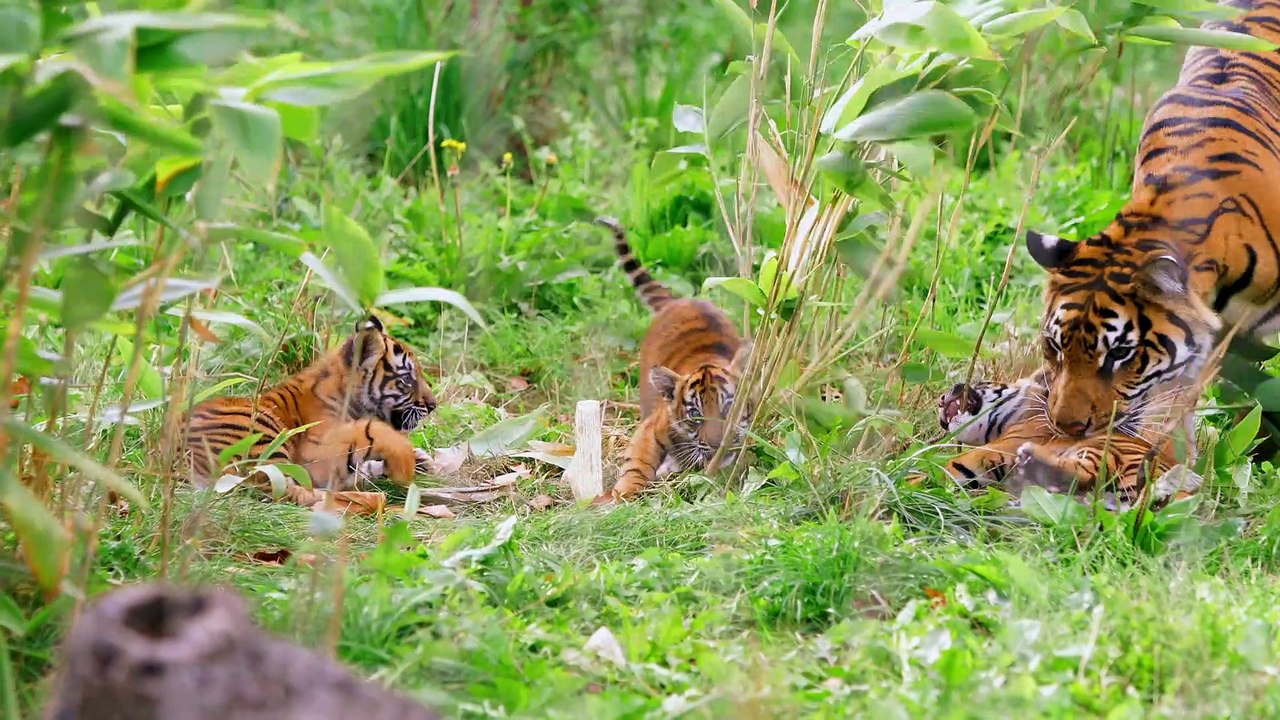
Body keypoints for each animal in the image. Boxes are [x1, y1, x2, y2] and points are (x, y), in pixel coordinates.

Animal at [186, 315, 437, 504]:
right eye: (407, 379)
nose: (433, 405)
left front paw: (422, 460)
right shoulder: (317, 455)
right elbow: (370, 431)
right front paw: (405, 463)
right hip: (261, 435)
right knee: (280, 489)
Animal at [593, 216, 752, 504]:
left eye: (727, 409)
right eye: (696, 415)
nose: (716, 446)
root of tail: (676, 301)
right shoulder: (650, 429)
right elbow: (637, 463)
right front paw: (625, 491)